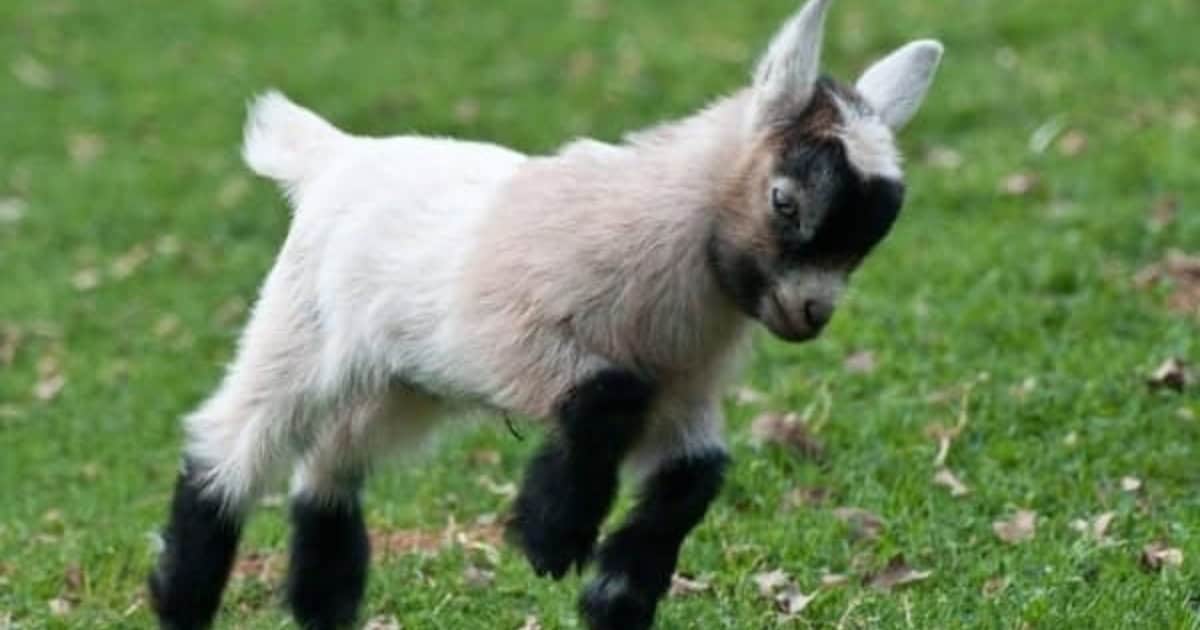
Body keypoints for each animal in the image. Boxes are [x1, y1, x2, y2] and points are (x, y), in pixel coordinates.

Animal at [148, 0, 942, 628]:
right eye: (786, 201)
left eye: (867, 240)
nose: (812, 313)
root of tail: (332, 155)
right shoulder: (512, 336)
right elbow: (608, 396)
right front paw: (550, 537)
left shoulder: (682, 390)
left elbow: (697, 473)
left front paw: (616, 592)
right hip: (303, 331)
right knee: (231, 440)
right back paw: (181, 598)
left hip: (402, 382)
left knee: (330, 461)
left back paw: (325, 601)